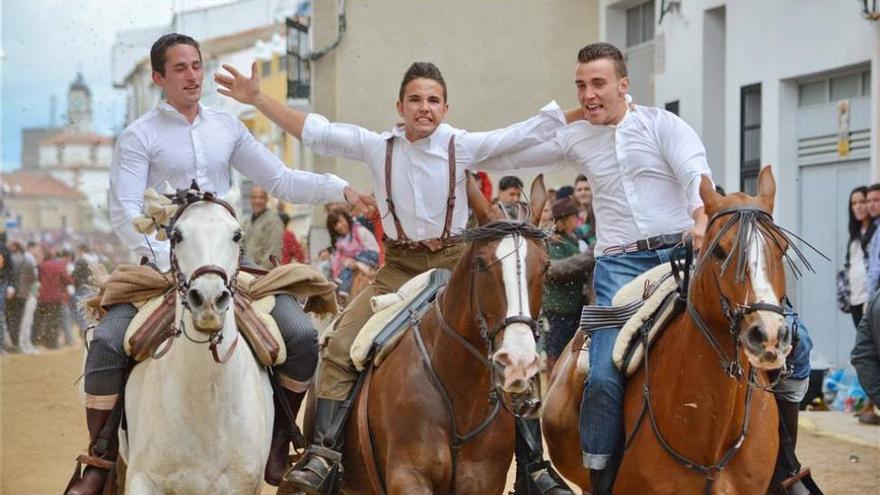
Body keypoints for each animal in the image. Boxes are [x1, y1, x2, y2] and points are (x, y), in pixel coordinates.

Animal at [338, 176, 552, 494]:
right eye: (481, 264)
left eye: (546, 266)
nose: (518, 360)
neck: (461, 394)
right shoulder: (409, 476)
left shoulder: (483, 480)